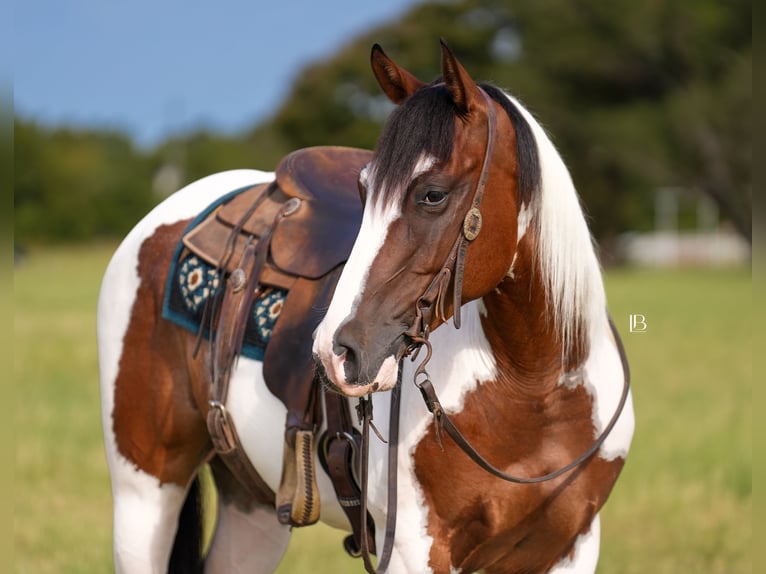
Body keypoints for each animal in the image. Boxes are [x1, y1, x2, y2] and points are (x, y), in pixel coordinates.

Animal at [98, 40, 634, 573]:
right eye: (363, 189)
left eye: (432, 194)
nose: (337, 351)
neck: (535, 387)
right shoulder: (415, 550)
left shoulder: (569, 547)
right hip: (144, 492)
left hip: (252, 509)